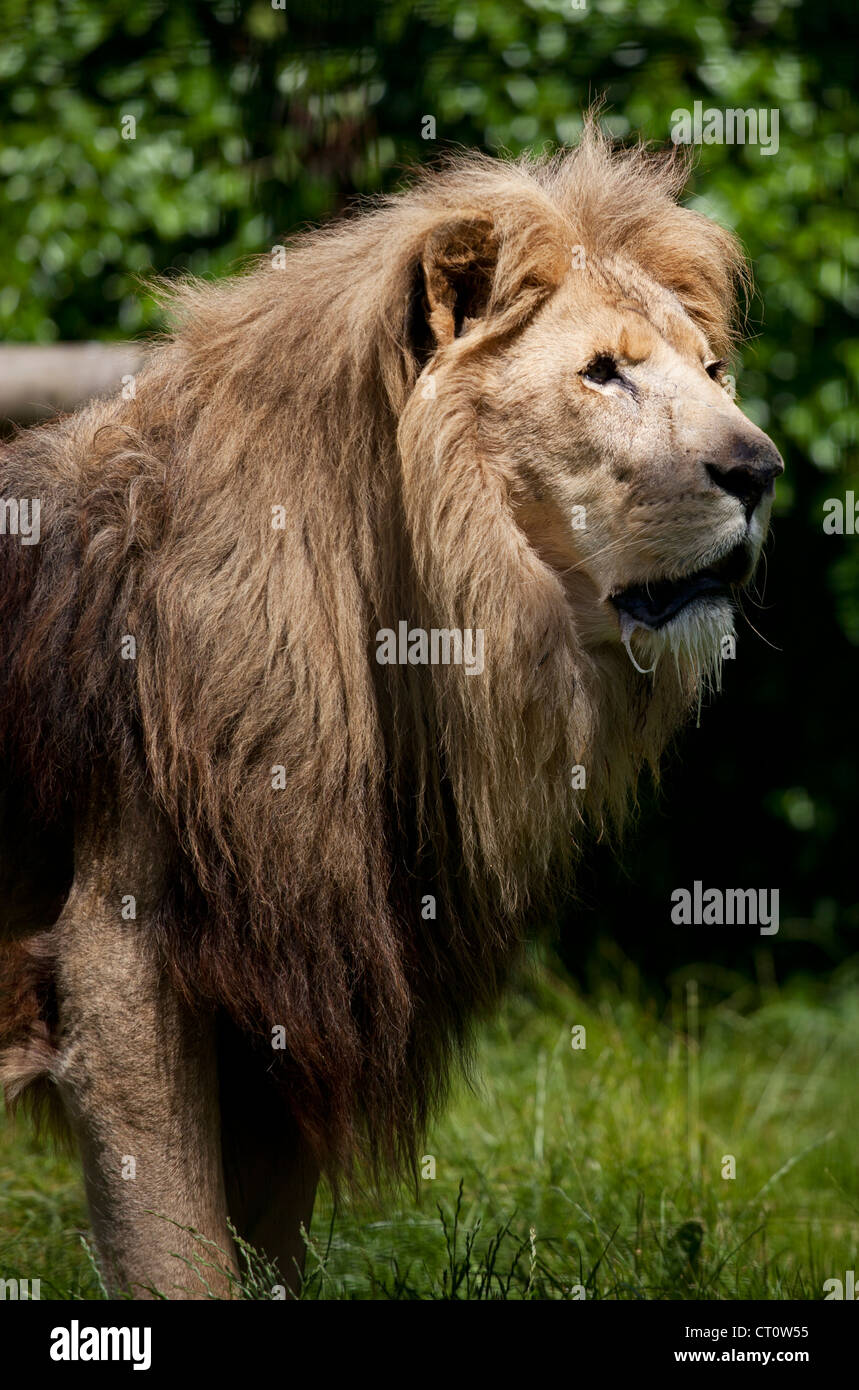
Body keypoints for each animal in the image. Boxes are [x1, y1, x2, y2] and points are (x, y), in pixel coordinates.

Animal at [0, 122, 778, 1301]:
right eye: (603, 373)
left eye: (713, 370)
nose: (762, 470)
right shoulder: (118, 974)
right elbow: (182, 1257)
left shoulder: (297, 977)